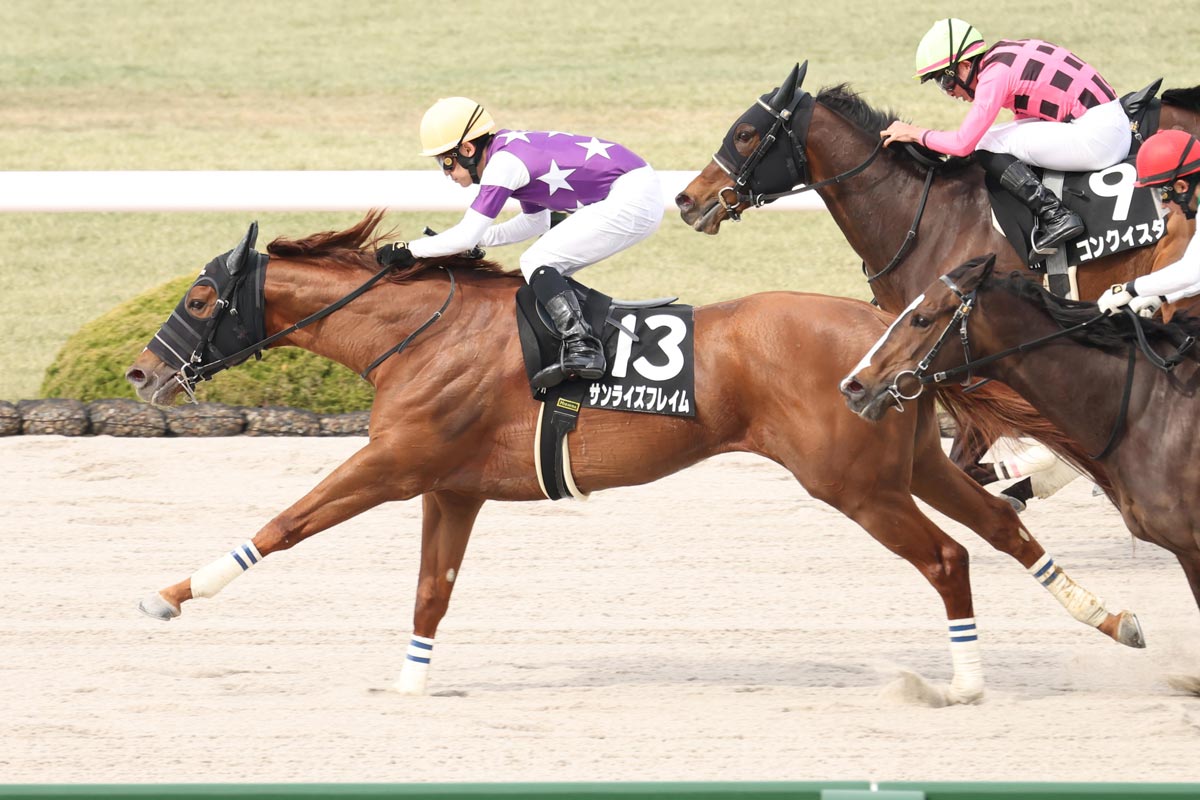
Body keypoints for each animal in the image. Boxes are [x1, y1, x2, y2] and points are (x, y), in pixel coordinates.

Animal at [124, 211, 1142, 702]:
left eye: (203, 298)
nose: (140, 370)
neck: (421, 333)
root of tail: (887, 336)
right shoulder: (451, 489)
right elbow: (431, 593)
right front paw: (408, 683)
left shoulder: (393, 464)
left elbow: (284, 523)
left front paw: (169, 594)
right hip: (905, 463)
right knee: (1003, 529)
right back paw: (1114, 619)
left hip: (852, 484)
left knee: (948, 556)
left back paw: (964, 683)